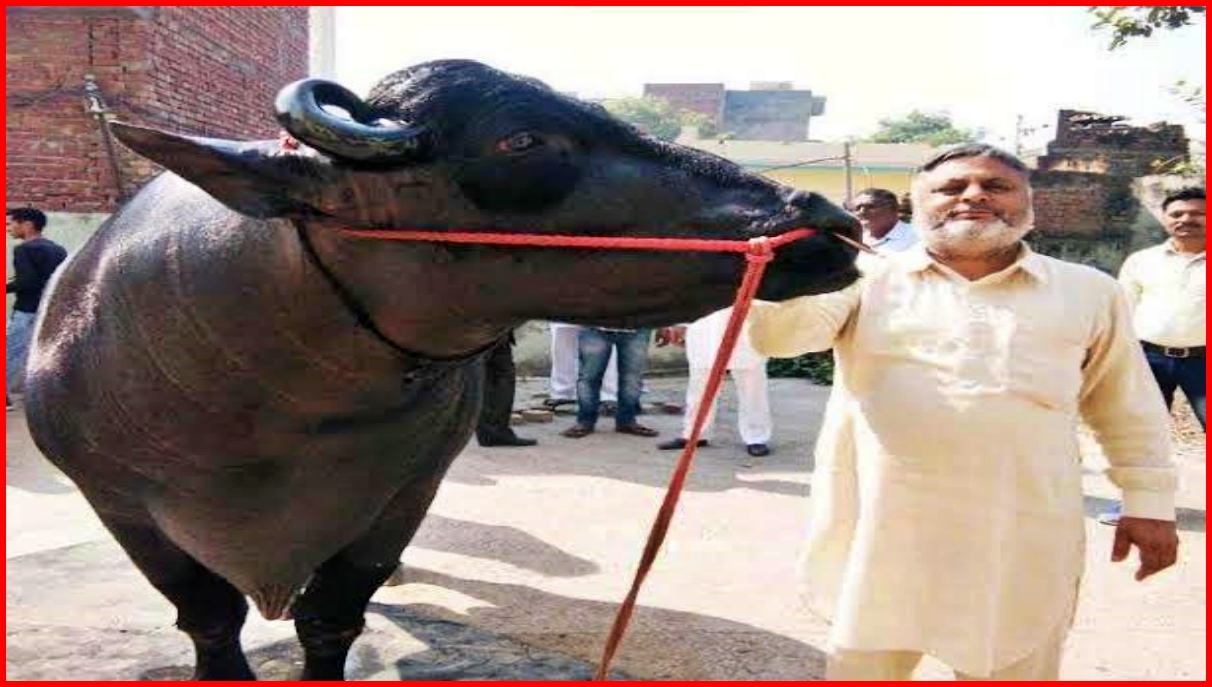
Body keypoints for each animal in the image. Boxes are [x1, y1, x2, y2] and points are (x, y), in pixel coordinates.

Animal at [26, 60, 862, 683]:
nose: (826, 216)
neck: (273, 408)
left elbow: (329, 616)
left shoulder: (404, 493)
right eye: (521, 139)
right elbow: (209, 618)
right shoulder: (120, 504)